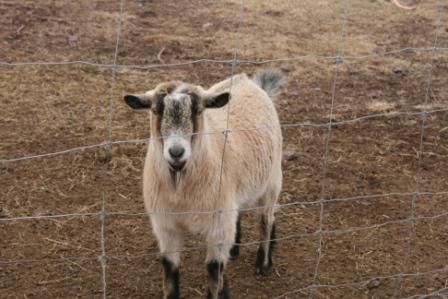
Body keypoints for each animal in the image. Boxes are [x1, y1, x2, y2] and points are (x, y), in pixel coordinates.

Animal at [122, 71, 284, 299]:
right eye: (155, 110)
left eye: (198, 111)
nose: (176, 152)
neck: (181, 192)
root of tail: (248, 81)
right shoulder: (166, 226)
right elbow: (170, 273)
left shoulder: (218, 228)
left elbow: (214, 272)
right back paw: (235, 250)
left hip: (272, 180)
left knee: (266, 219)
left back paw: (263, 263)